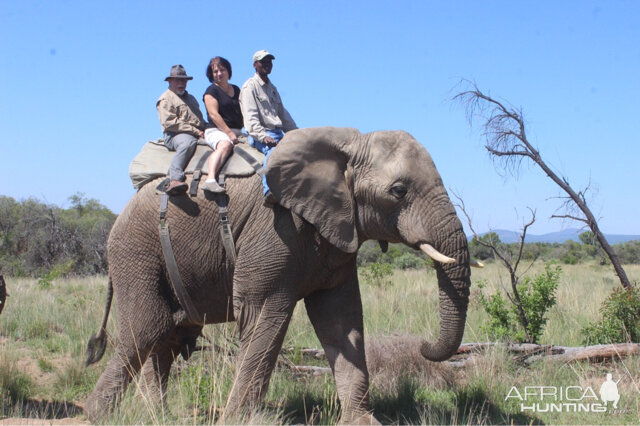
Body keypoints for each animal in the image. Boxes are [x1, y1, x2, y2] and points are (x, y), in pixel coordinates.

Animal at [84, 125, 470, 422]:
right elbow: (263, 317)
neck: (346, 145)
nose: (423, 345)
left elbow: (340, 318)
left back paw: (155, 416)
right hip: (136, 250)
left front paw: (363, 422)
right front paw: (238, 421)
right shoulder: (274, 229)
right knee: (147, 328)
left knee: (165, 337)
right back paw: (96, 413)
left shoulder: (336, 232)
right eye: (398, 191)